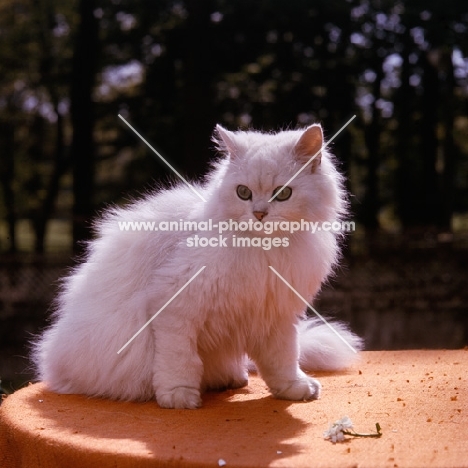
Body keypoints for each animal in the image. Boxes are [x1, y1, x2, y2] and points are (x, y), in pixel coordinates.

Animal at [33, 124, 364, 410]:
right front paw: (178, 395)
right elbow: (180, 359)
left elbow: (283, 359)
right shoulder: (174, 306)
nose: (259, 214)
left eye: (282, 194)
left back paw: (232, 379)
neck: (264, 252)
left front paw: (293, 388)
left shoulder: (277, 313)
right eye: (243, 192)